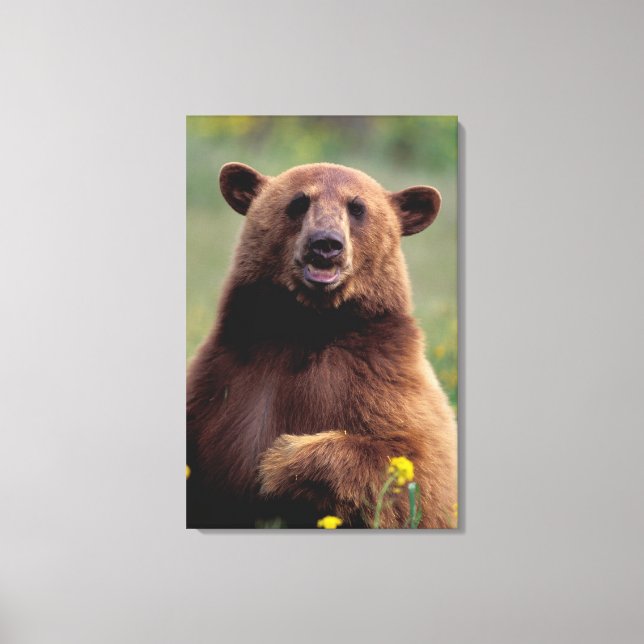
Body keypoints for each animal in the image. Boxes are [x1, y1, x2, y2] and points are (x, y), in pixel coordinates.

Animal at [187, 162, 457, 528]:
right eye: (299, 202)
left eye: (357, 207)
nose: (326, 244)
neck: (306, 327)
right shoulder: (223, 376)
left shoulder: (383, 378)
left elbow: (421, 472)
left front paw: (279, 460)